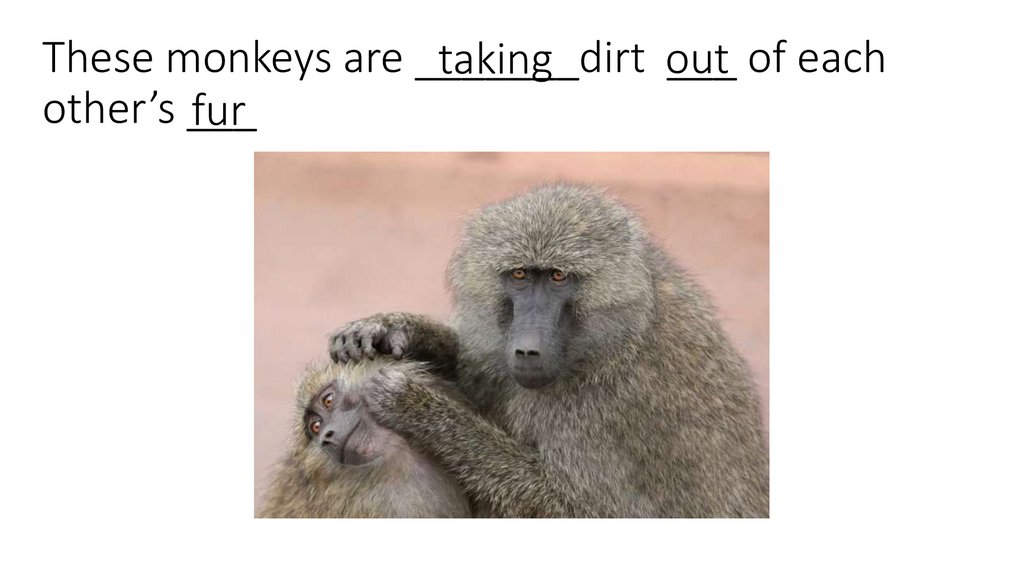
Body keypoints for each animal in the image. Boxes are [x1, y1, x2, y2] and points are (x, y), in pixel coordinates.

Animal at [329, 183, 769, 518]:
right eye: (521, 275)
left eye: (558, 277)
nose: (527, 350)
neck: (623, 332)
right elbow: (478, 370)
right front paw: (392, 329)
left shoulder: (603, 405)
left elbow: (584, 509)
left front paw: (417, 406)